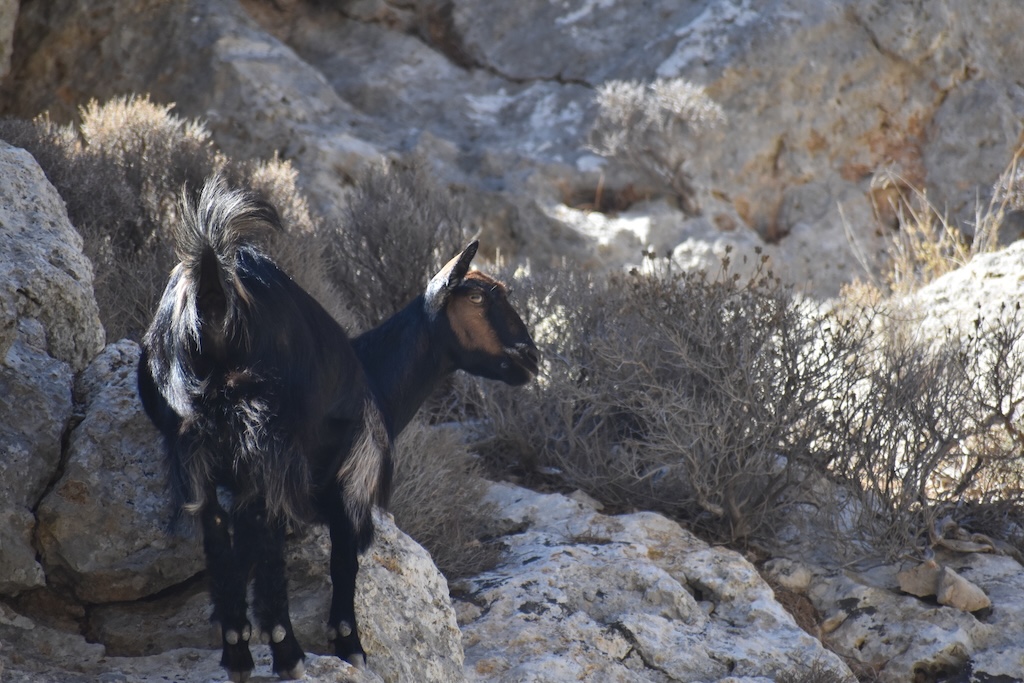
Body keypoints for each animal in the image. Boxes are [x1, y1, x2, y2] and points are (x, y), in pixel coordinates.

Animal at [140, 175, 540, 679]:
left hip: (191, 442)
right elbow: (344, 559)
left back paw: (237, 654)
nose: (531, 357)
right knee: (262, 523)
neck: (375, 377)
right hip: (266, 437)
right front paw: (350, 645)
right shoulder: (356, 477)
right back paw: (288, 652)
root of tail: (213, 286)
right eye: (479, 296)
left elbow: (240, 553)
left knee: (216, 526)